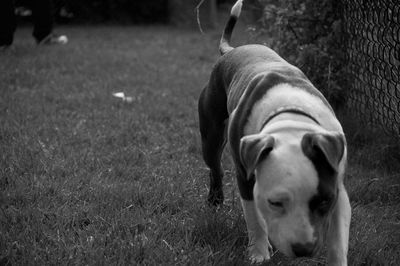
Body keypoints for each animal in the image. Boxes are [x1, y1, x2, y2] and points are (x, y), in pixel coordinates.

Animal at [198, 0, 352, 264]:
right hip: (211, 136)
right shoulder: (246, 179)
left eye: (324, 201)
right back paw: (215, 200)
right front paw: (259, 253)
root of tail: (231, 51)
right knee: (215, 168)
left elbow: (338, 240)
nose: (304, 249)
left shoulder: (337, 188)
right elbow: (255, 221)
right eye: (276, 202)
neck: (290, 117)